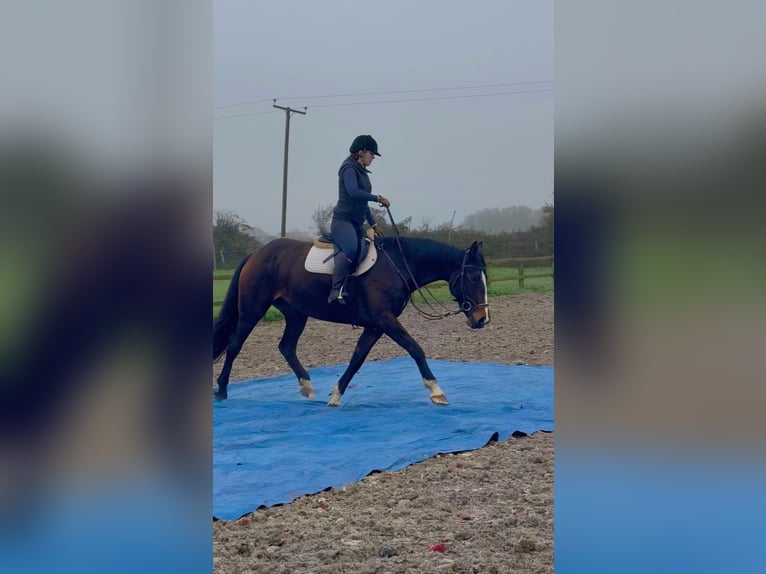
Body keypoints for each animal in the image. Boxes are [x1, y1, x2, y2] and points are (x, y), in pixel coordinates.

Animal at [213, 236, 490, 406]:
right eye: (473, 278)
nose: (482, 319)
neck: (397, 265)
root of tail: (257, 254)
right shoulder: (385, 321)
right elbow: (415, 349)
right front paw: (436, 391)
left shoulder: (375, 326)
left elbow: (357, 359)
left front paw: (336, 396)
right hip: (252, 310)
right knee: (235, 346)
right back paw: (222, 390)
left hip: (296, 314)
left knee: (286, 347)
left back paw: (307, 386)